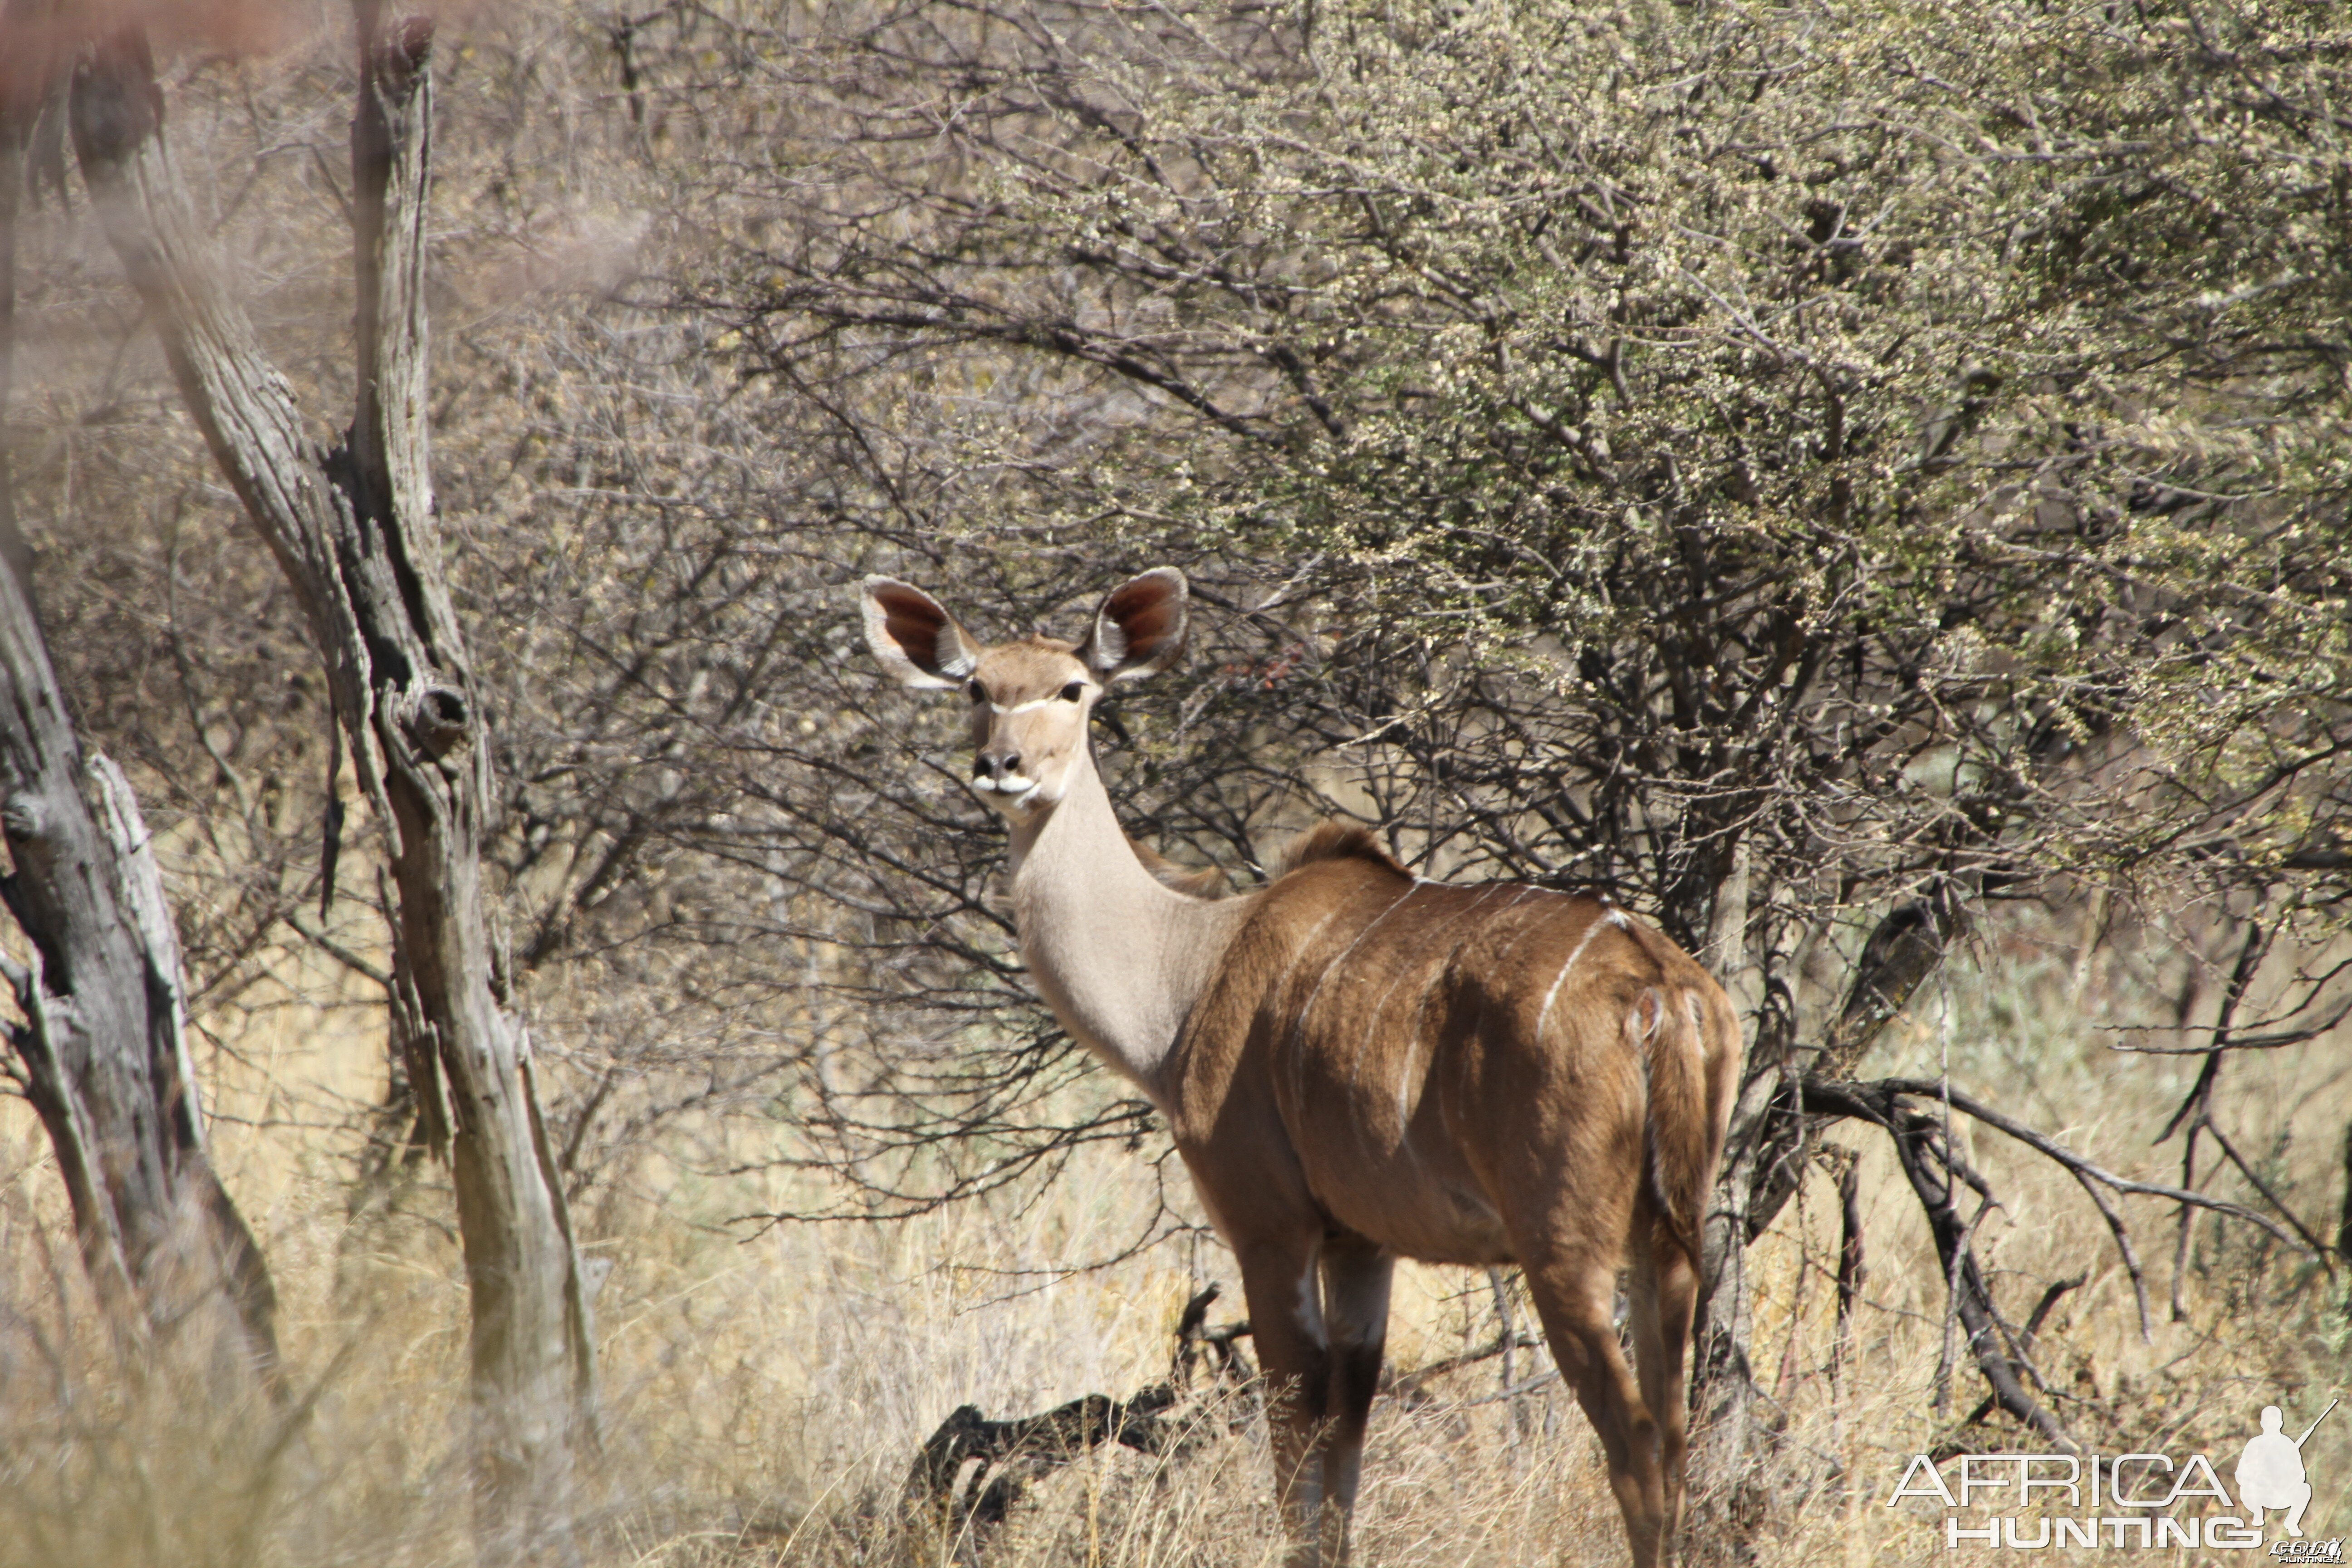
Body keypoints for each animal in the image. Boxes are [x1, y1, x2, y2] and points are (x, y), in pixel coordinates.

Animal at [865, 571, 1749, 1561]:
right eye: (978, 688)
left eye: (1073, 688)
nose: (1004, 766)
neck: (1187, 968)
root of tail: (1657, 990)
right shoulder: (1359, 1242)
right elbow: (1345, 1437)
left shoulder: (1269, 1224)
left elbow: (1295, 1436)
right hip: (1667, 1236)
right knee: (1676, 1428)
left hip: (1563, 1245)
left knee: (1633, 1439)